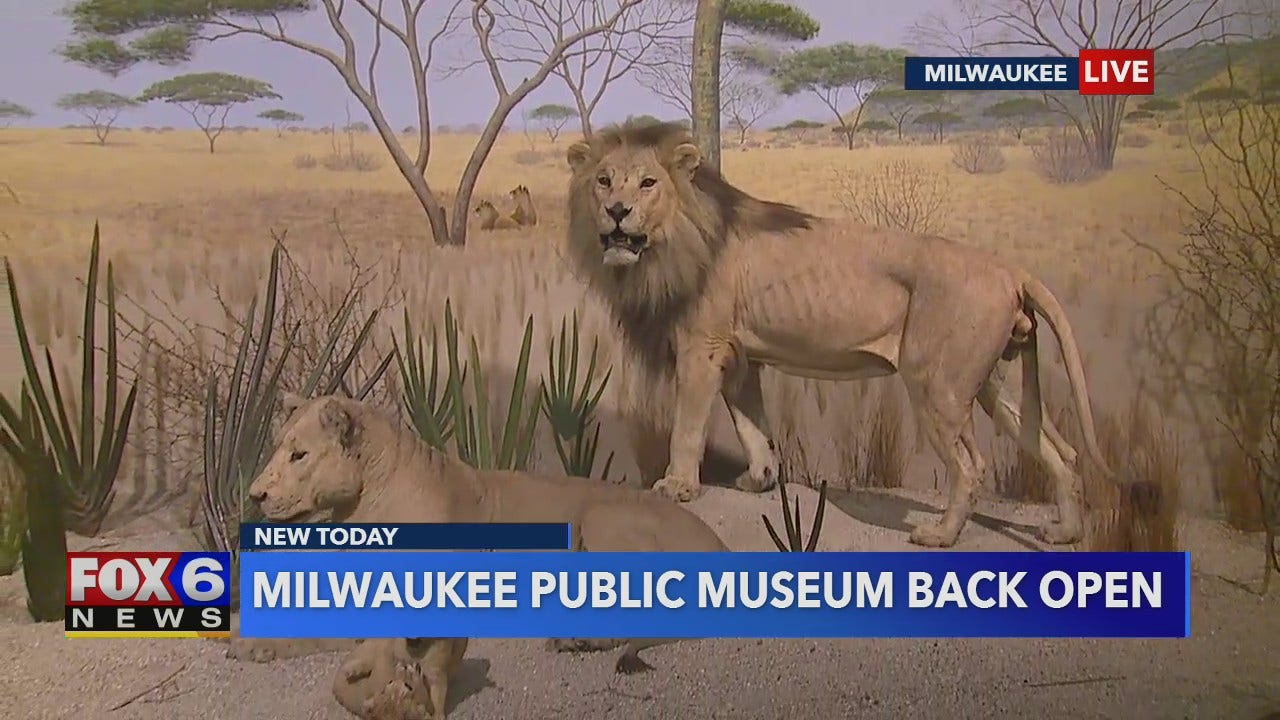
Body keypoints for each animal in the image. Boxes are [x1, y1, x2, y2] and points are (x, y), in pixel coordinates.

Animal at [244, 392, 727, 671]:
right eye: (277, 448)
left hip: (601, 517)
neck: (360, 505)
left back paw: (579, 638)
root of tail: (719, 545)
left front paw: (256, 645)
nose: (254, 495)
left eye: (299, 455)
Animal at [565, 119, 1116, 543]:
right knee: (1061, 451)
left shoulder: (702, 347)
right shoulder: (741, 357)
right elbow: (752, 426)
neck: (667, 246)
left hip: (936, 386)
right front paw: (761, 479)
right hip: (994, 384)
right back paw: (1065, 532)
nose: (617, 212)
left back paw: (939, 535)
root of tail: (1010, 269)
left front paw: (677, 486)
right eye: (604, 181)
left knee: (971, 466)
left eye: (647, 184)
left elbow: (687, 427)